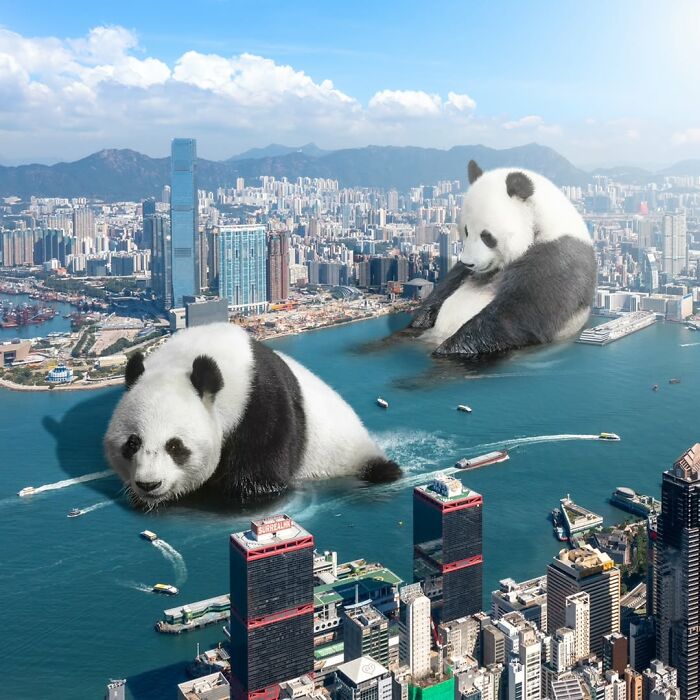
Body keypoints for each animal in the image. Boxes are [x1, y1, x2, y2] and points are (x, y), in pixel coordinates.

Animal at [104, 323, 401, 507]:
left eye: (175, 446)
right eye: (132, 443)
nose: (149, 484)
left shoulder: (262, 405)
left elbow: (259, 481)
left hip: (344, 454)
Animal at [412, 160, 596, 357]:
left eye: (487, 236)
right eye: (466, 231)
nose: (469, 262)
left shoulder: (558, 259)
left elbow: (519, 314)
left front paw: (448, 349)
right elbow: (446, 286)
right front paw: (421, 319)